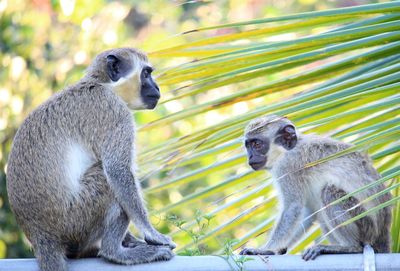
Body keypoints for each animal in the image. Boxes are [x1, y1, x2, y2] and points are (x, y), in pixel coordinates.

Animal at [5, 47, 176, 271]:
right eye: (146, 74)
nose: (156, 86)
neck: (103, 84)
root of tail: (40, 236)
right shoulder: (114, 111)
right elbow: (117, 170)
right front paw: (151, 233)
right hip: (74, 220)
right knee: (106, 180)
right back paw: (115, 252)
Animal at [239, 115, 392, 262]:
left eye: (257, 144)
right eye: (248, 146)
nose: (250, 157)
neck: (287, 150)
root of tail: (383, 233)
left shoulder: (287, 165)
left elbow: (292, 207)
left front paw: (266, 250)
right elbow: (307, 211)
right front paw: (278, 250)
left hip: (366, 226)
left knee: (329, 192)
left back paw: (351, 247)